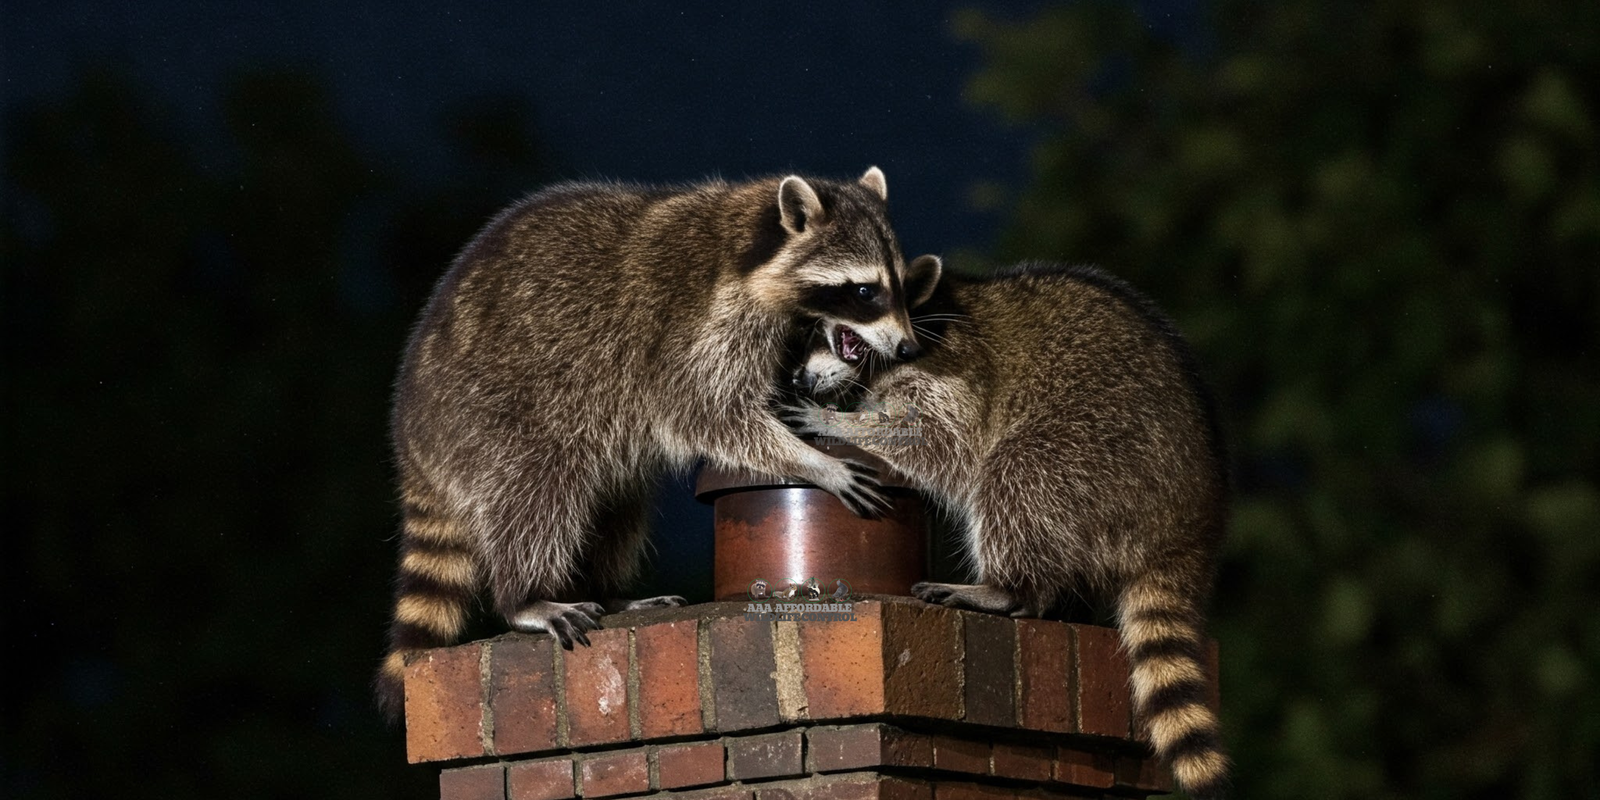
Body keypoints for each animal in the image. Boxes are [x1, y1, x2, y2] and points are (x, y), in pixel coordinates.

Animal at [377, 168, 943, 721]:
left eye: (899, 287)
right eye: (865, 291)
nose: (909, 347)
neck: (749, 250)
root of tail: (411, 441)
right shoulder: (697, 329)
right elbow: (707, 414)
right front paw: (815, 462)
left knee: (617, 508)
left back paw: (605, 593)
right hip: (496, 413)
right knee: (538, 490)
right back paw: (526, 596)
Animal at [788, 262, 1230, 799]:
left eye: (836, 332)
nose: (797, 376)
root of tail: (1192, 525)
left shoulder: (953, 371)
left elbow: (940, 443)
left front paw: (841, 422)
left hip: (1102, 451)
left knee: (1016, 473)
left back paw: (1009, 588)